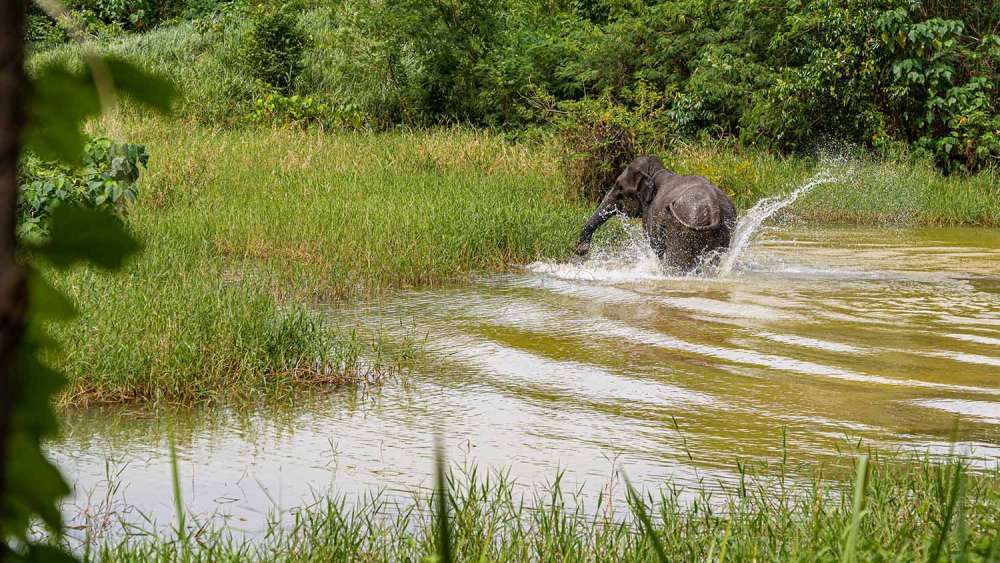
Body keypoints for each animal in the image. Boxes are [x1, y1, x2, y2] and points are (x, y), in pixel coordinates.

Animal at [572, 153, 736, 270]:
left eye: (620, 188)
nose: (581, 250)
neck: (656, 172)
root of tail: (713, 207)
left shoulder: (651, 214)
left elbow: (656, 247)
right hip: (724, 229)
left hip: (685, 228)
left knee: (677, 261)